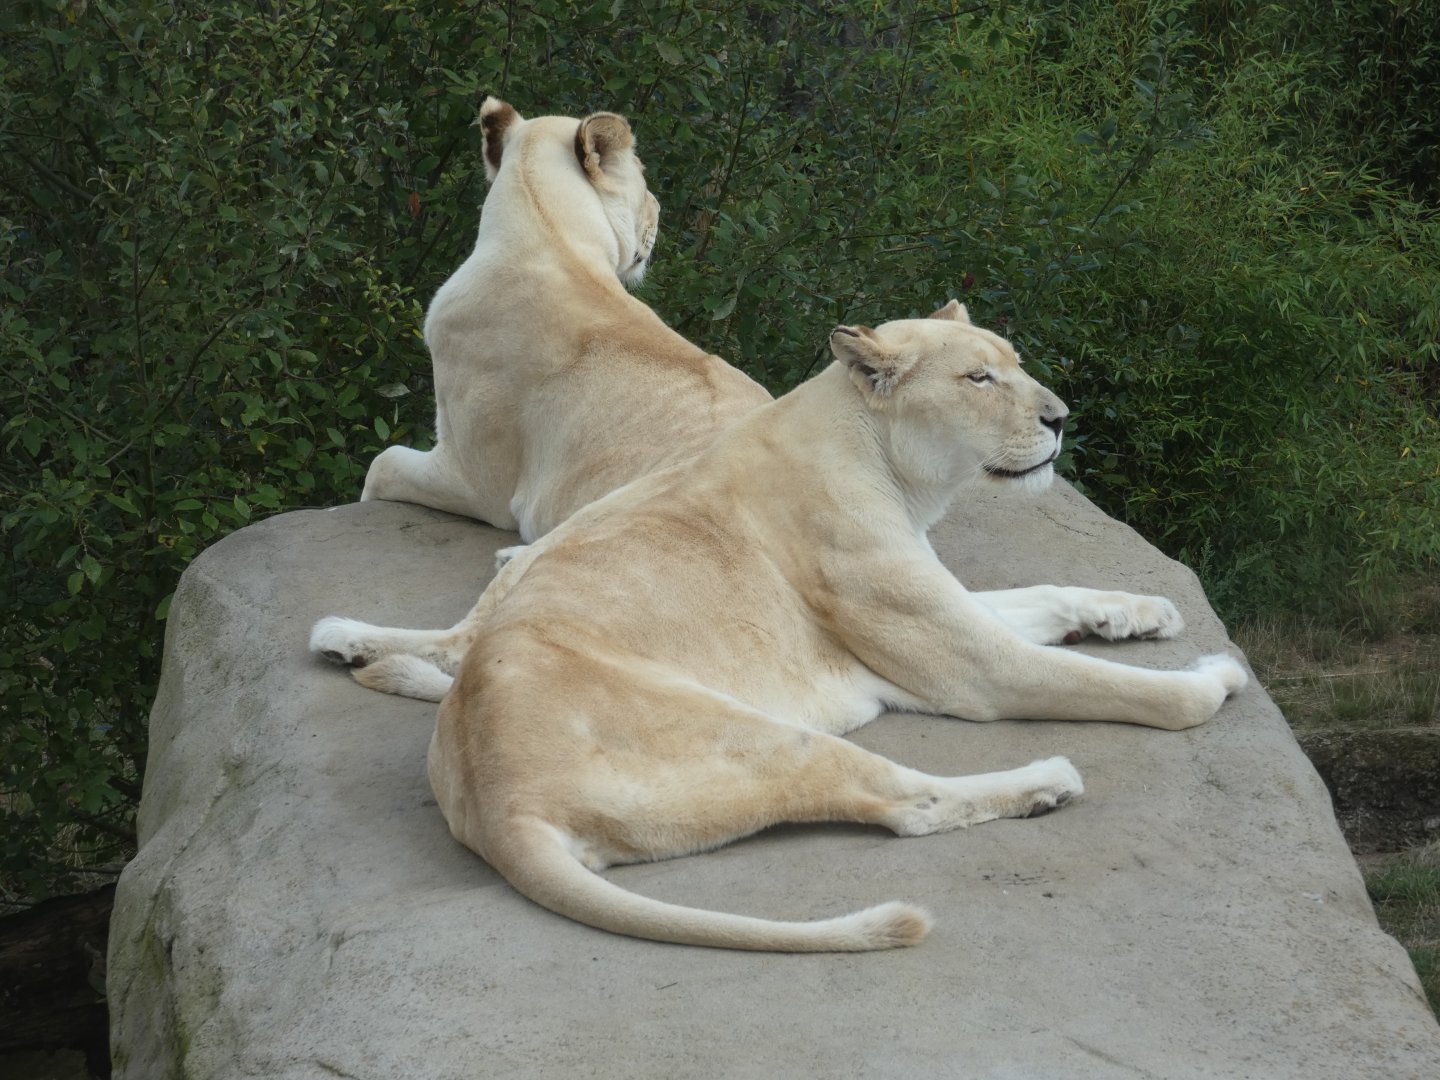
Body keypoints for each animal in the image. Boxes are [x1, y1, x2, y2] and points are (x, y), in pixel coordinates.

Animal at [311, 302, 1247, 951]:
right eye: (978, 380)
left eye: (1013, 366)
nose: (1059, 417)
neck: (886, 462)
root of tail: (496, 800)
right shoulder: (975, 670)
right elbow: (1143, 695)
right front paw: (1211, 673)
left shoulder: (947, 611)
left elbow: (1046, 593)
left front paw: (1144, 611)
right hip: (766, 736)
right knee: (909, 804)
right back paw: (1049, 779)